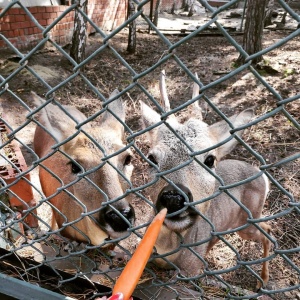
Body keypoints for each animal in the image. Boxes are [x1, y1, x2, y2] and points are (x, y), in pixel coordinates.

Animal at [141, 70, 272, 288]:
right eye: (152, 158)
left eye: (210, 159)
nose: (173, 198)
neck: (168, 249)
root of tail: (261, 174)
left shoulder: (190, 272)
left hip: (248, 220)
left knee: (267, 230)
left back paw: (263, 280)